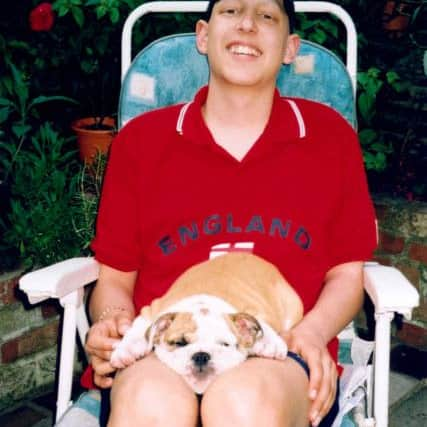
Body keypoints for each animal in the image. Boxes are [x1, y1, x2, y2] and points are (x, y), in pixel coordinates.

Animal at [110, 252, 304, 396]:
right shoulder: (153, 310)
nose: (201, 355)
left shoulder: (252, 310)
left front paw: (269, 343)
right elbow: (139, 329)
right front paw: (126, 350)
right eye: (180, 343)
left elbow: (260, 323)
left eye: (224, 344)